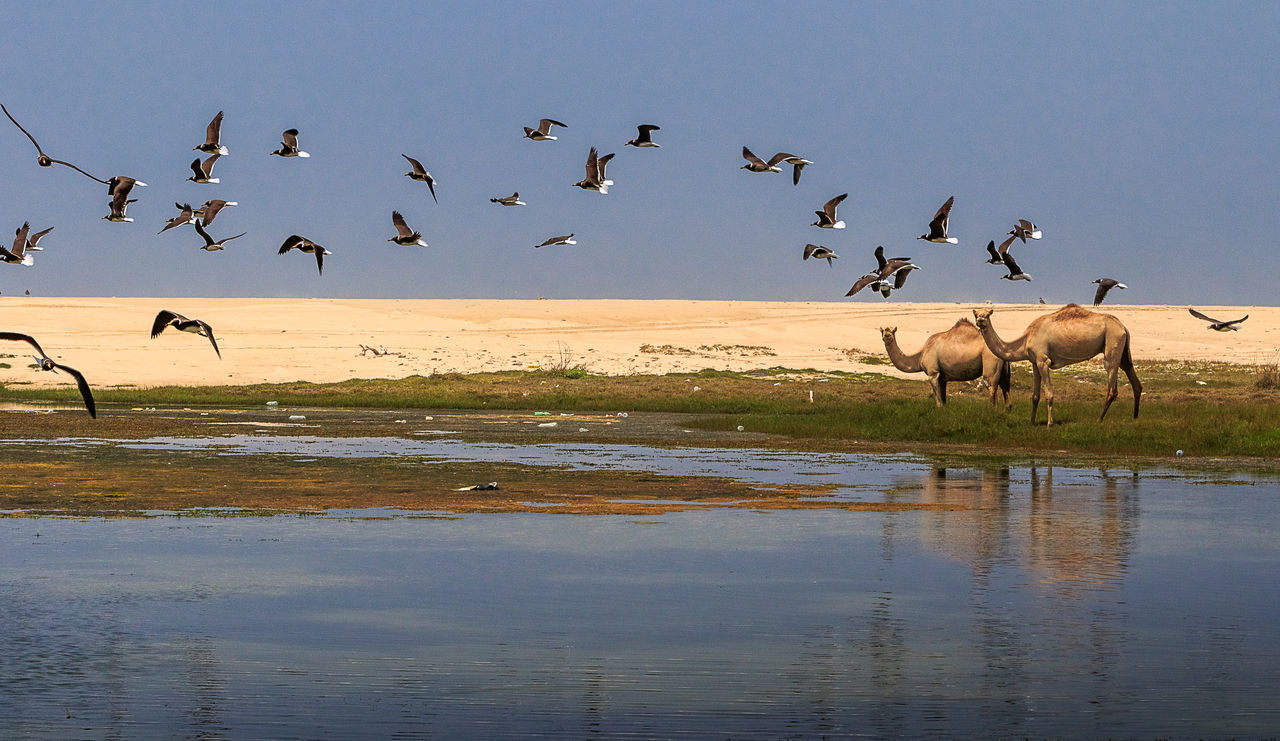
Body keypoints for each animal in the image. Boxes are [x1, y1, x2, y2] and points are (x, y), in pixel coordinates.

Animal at [880, 318, 1008, 412]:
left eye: (891, 331)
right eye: (883, 331)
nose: (886, 335)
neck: (921, 353)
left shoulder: (933, 373)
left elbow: (938, 399)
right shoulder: (942, 377)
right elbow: (944, 397)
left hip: (990, 361)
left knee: (992, 387)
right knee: (1004, 387)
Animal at [967, 304, 1141, 427]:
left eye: (987, 315)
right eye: (976, 314)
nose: (980, 320)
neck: (1025, 340)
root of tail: (1122, 326)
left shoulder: (1043, 360)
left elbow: (1049, 394)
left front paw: (1050, 423)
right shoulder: (1034, 362)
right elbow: (1035, 396)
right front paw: (1031, 422)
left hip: (1112, 342)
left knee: (1112, 386)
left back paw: (1099, 419)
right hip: (1123, 349)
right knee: (1133, 378)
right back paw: (1135, 417)